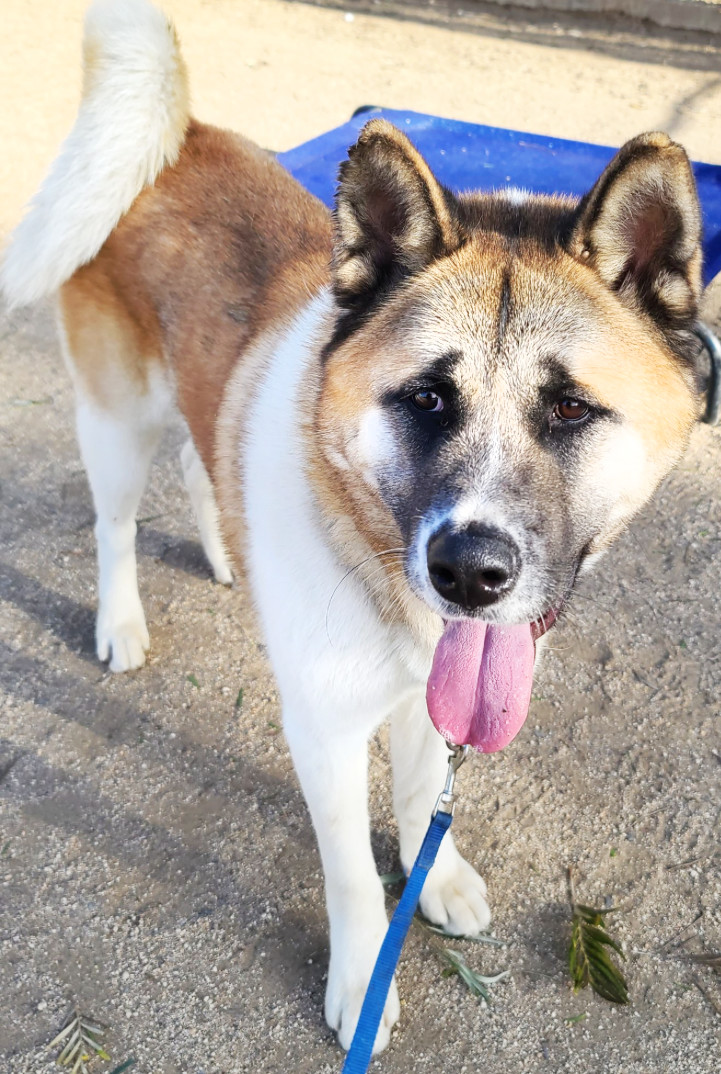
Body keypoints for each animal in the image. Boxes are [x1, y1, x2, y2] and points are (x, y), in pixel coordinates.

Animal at [2, 0, 709, 1056]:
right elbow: (347, 871)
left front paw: (436, 877)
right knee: (115, 524)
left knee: (199, 462)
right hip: (115, 424)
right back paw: (120, 623)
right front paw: (360, 979)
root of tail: (178, 137)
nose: (470, 573)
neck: (369, 554)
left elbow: (422, 797)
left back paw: (226, 554)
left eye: (570, 410)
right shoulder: (326, 732)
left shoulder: (428, 695)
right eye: (424, 398)